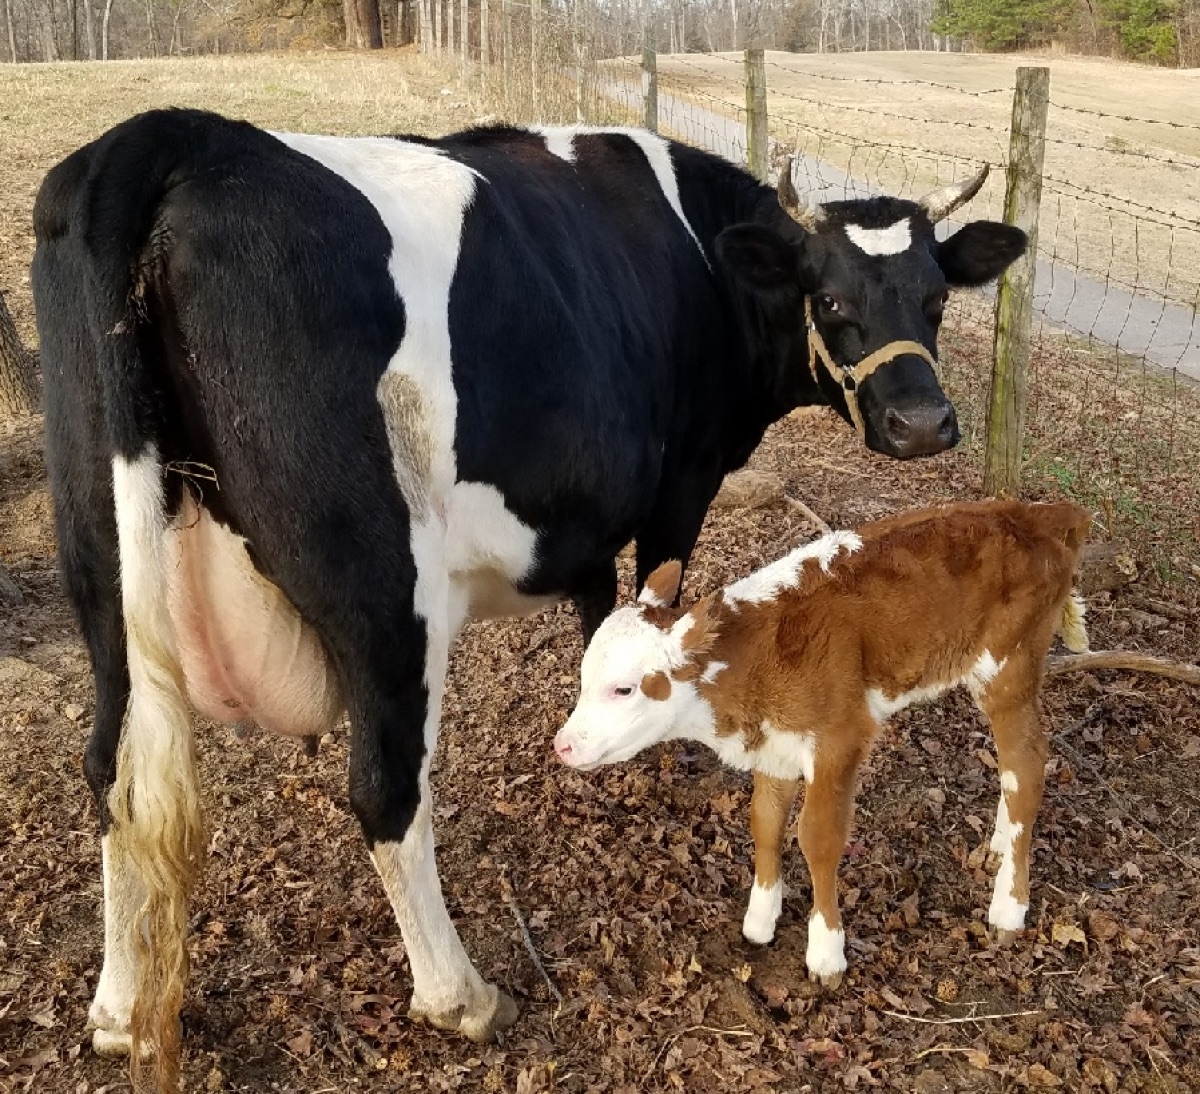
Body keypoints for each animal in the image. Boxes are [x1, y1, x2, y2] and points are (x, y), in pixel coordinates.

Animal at [30, 106, 1022, 1079]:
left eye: (936, 298)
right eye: (832, 298)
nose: (922, 423)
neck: (701, 255)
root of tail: (169, 135)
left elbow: (603, 613)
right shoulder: (682, 483)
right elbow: (657, 600)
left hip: (103, 570)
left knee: (111, 770)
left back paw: (116, 1008)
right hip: (387, 599)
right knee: (385, 791)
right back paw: (460, 997)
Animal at [556, 499, 1094, 988]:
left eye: (624, 689)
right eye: (584, 678)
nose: (563, 745)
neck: (760, 655)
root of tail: (1040, 512)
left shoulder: (839, 738)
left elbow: (818, 836)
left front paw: (826, 951)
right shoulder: (775, 744)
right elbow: (765, 822)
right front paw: (760, 920)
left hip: (1009, 671)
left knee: (1027, 767)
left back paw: (1008, 906)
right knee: (1012, 768)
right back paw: (1001, 841)